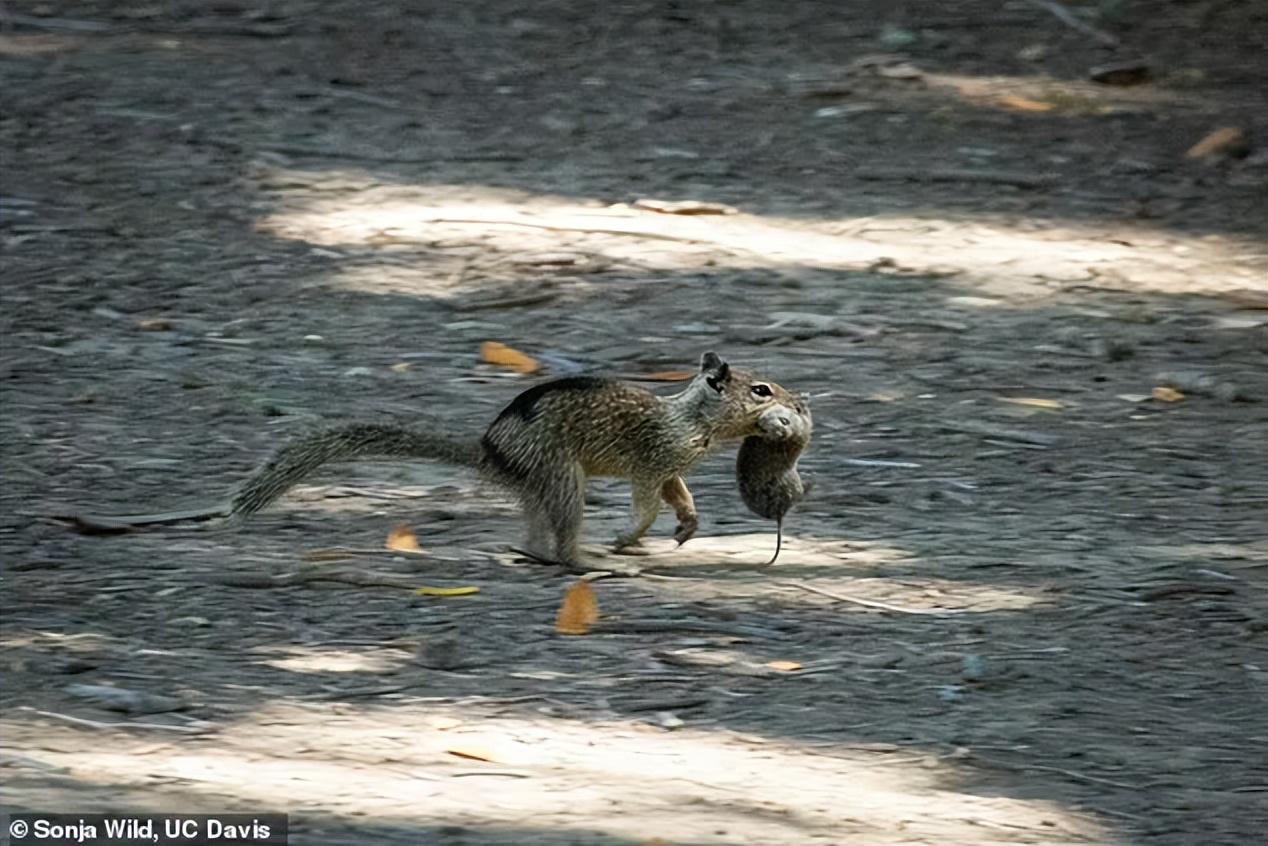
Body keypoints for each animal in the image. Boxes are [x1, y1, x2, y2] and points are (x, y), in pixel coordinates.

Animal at [173, 347, 801, 573]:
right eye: (761, 390)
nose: (799, 404)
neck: (692, 419)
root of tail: (490, 452)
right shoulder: (652, 460)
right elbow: (647, 501)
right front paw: (631, 537)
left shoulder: (672, 467)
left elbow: (680, 495)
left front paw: (687, 527)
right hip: (562, 477)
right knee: (563, 543)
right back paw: (597, 560)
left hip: (542, 486)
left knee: (536, 536)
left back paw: (534, 552)